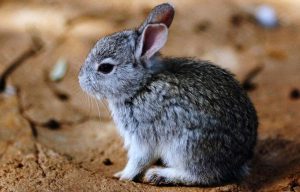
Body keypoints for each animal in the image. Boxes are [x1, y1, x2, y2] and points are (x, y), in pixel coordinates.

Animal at [78, 2, 258, 186]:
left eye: (105, 68)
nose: (80, 80)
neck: (141, 85)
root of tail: (239, 160)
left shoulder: (143, 135)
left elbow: (138, 160)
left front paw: (123, 176)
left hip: (186, 147)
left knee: (202, 175)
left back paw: (159, 175)